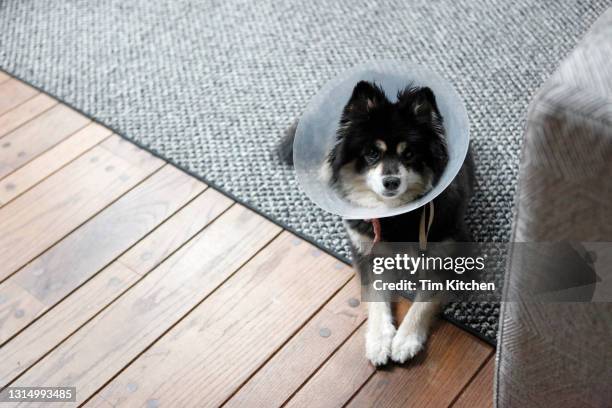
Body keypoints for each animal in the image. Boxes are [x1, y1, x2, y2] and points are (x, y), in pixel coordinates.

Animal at [280, 80, 476, 366]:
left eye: (409, 154)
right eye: (372, 153)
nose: (391, 182)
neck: (397, 216)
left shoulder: (453, 255)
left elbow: (424, 301)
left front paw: (405, 339)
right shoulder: (366, 253)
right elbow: (375, 295)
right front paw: (378, 340)